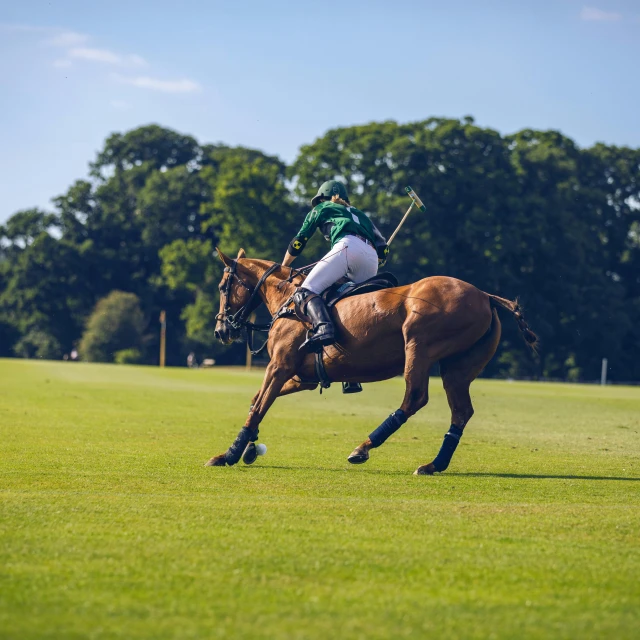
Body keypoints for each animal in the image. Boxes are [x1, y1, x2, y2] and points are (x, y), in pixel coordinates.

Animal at [208, 249, 536, 476]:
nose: (221, 330)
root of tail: (485, 295)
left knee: (414, 398)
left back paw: (363, 448)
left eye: (223, 287)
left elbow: (259, 407)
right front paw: (249, 448)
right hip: (458, 368)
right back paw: (433, 465)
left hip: (418, 346)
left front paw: (228, 455)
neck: (288, 298)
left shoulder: (280, 366)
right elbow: (256, 401)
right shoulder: (303, 377)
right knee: (461, 411)